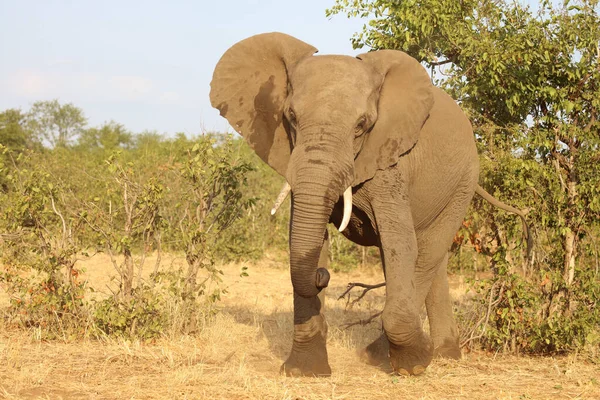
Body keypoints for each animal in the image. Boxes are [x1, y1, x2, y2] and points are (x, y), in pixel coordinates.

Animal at [207, 32, 528, 376]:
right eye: (290, 117)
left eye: (362, 125)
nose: (323, 276)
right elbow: (304, 239)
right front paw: (304, 372)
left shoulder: (391, 159)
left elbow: (401, 243)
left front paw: (411, 366)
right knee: (430, 258)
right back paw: (445, 355)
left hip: (463, 182)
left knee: (426, 252)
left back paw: (385, 356)